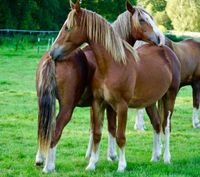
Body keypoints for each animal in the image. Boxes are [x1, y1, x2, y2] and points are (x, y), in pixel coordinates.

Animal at [48, 0, 181, 171]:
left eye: (67, 27)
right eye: (142, 20)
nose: (53, 52)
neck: (111, 65)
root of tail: (167, 51)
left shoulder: (121, 106)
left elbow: (120, 136)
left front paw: (121, 165)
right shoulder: (98, 103)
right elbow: (98, 133)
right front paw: (92, 164)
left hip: (169, 97)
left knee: (166, 126)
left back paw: (166, 158)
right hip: (150, 102)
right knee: (157, 124)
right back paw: (154, 157)